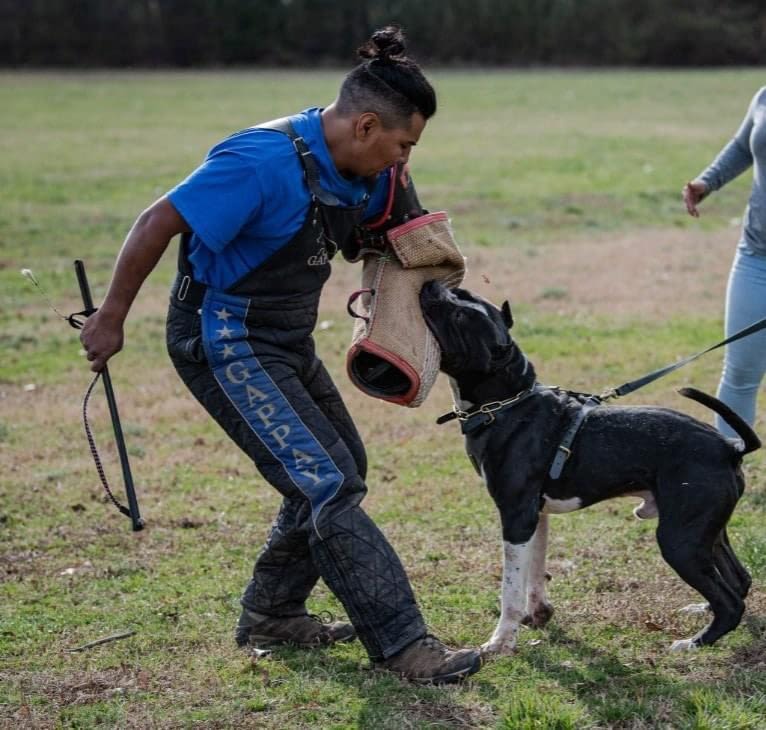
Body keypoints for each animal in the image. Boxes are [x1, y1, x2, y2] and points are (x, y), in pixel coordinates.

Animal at [420, 280, 760, 656]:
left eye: (460, 316)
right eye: (463, 296)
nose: (433, 285)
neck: (508, 403)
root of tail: (729, 447)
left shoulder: (516, 518)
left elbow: (510, 588)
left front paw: (500, 641)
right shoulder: (536, 516)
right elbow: (535, 571)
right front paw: (538, 614)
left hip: (679, 539)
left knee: (731, 602)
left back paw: (693, 642)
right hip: (707, 532)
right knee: (739, 579)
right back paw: (703, 611)